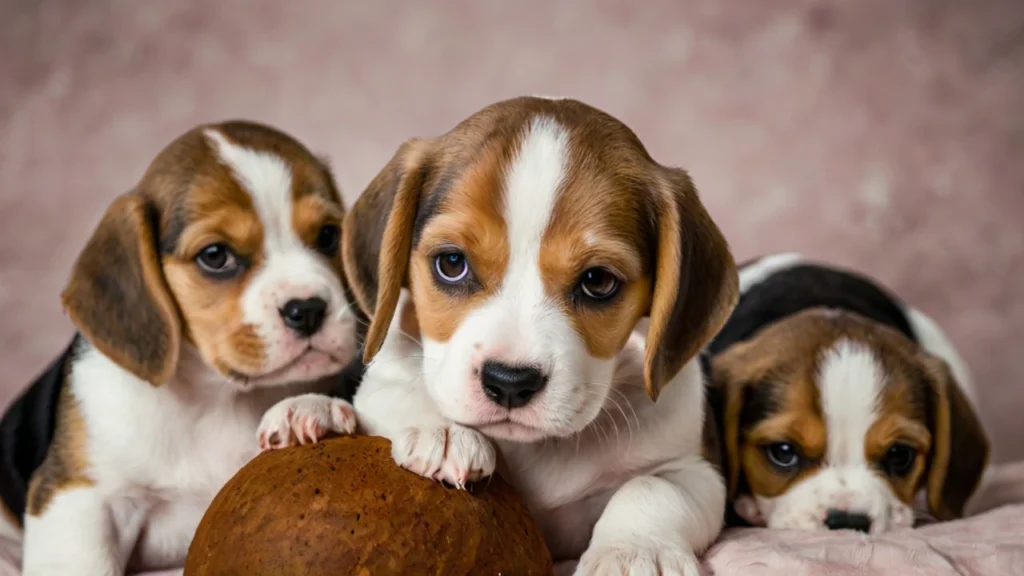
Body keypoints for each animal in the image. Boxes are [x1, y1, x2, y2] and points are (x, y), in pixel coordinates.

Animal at [0, 118, 360, 569]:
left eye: (329, 236)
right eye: (215, 255)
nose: (309, 309)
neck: (216, 396)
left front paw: (310, 408)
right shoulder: (80, 497)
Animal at [262, 96, 745, 569]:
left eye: (598, 281)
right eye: (452, 263)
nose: (510, 383)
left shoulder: (695, 470)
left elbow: (651, 488)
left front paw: (635, 552)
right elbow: (398, 395)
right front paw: (443, 431)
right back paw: (312, 412)